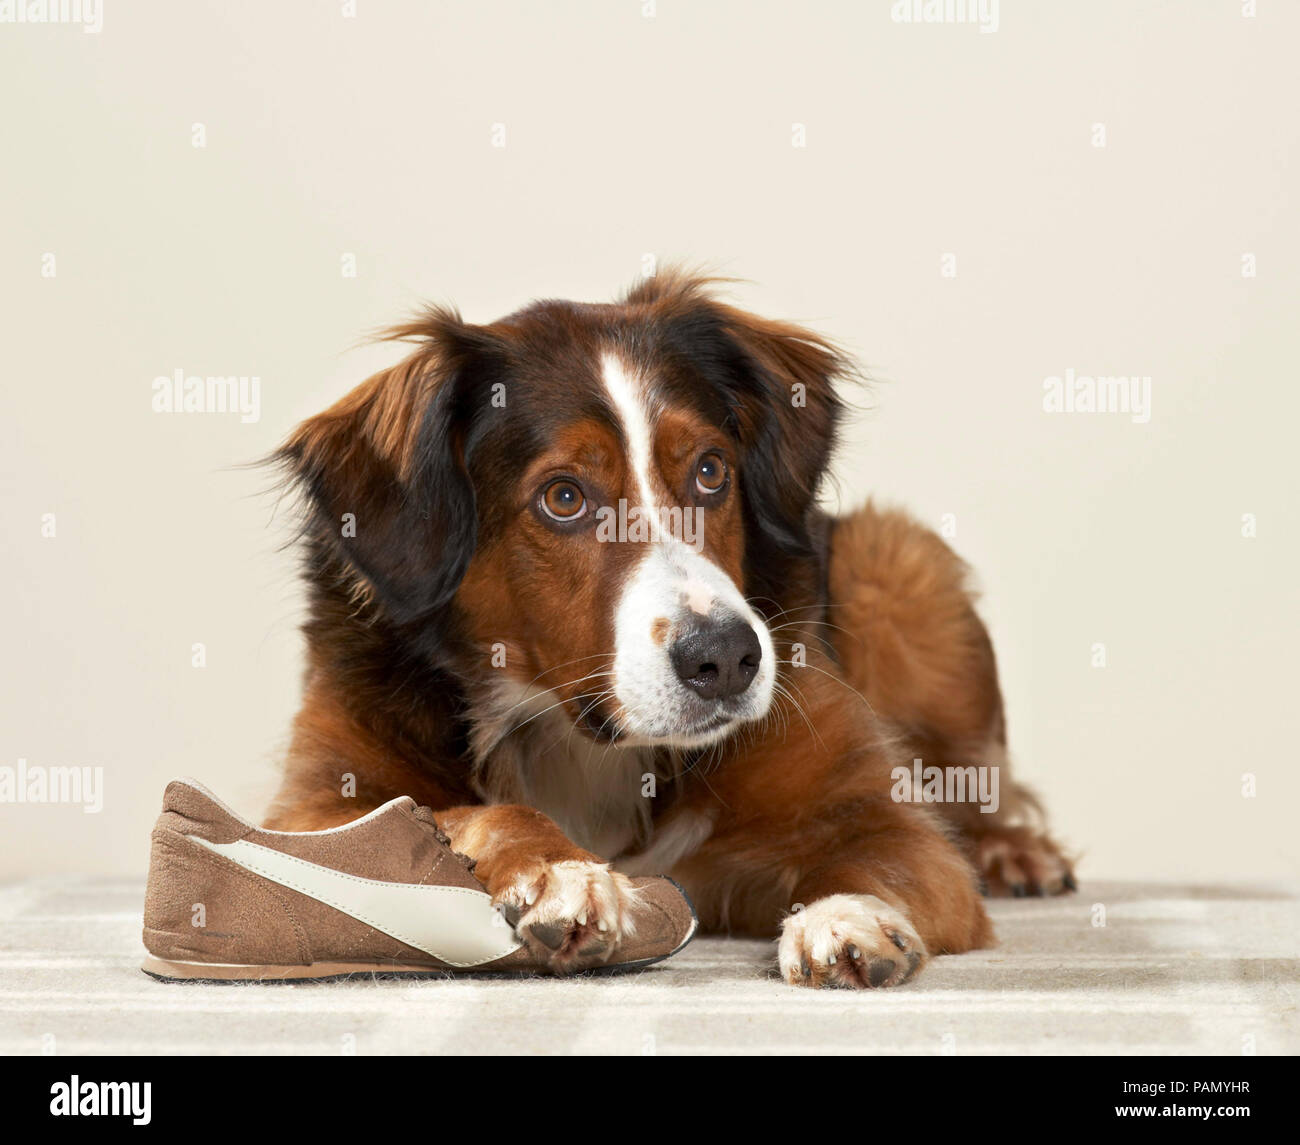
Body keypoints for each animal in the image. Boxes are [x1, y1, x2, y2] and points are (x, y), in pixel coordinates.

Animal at [263, 267, 1076, 982]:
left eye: (711, 470)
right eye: (564, 496)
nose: (728, 659)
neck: (580, 738)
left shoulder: (877, 815)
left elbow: (877, 855)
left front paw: (845, 916)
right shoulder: (312, 808)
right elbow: (453, 812)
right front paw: (561, 868)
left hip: (898, 561)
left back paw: (1013, 852)